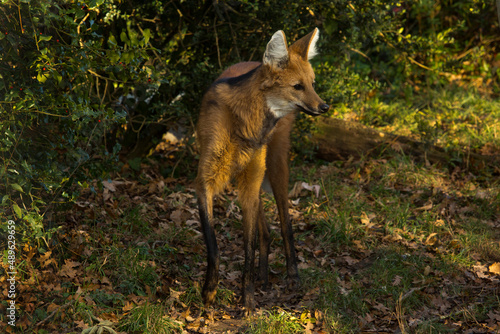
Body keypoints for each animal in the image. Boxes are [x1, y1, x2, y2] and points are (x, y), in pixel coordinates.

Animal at [196, 28, 332, 314]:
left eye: (313, 83)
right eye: (298, 86)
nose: (324, 107)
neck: (245, 124)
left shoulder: (249, 184)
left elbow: (248, 248)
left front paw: (247, 301)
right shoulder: (206, 182)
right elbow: (214, 245)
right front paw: (210, 291)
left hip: (275, 169)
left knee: (285, 224)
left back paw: (291, 275)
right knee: (267, 231)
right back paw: (263, 276)